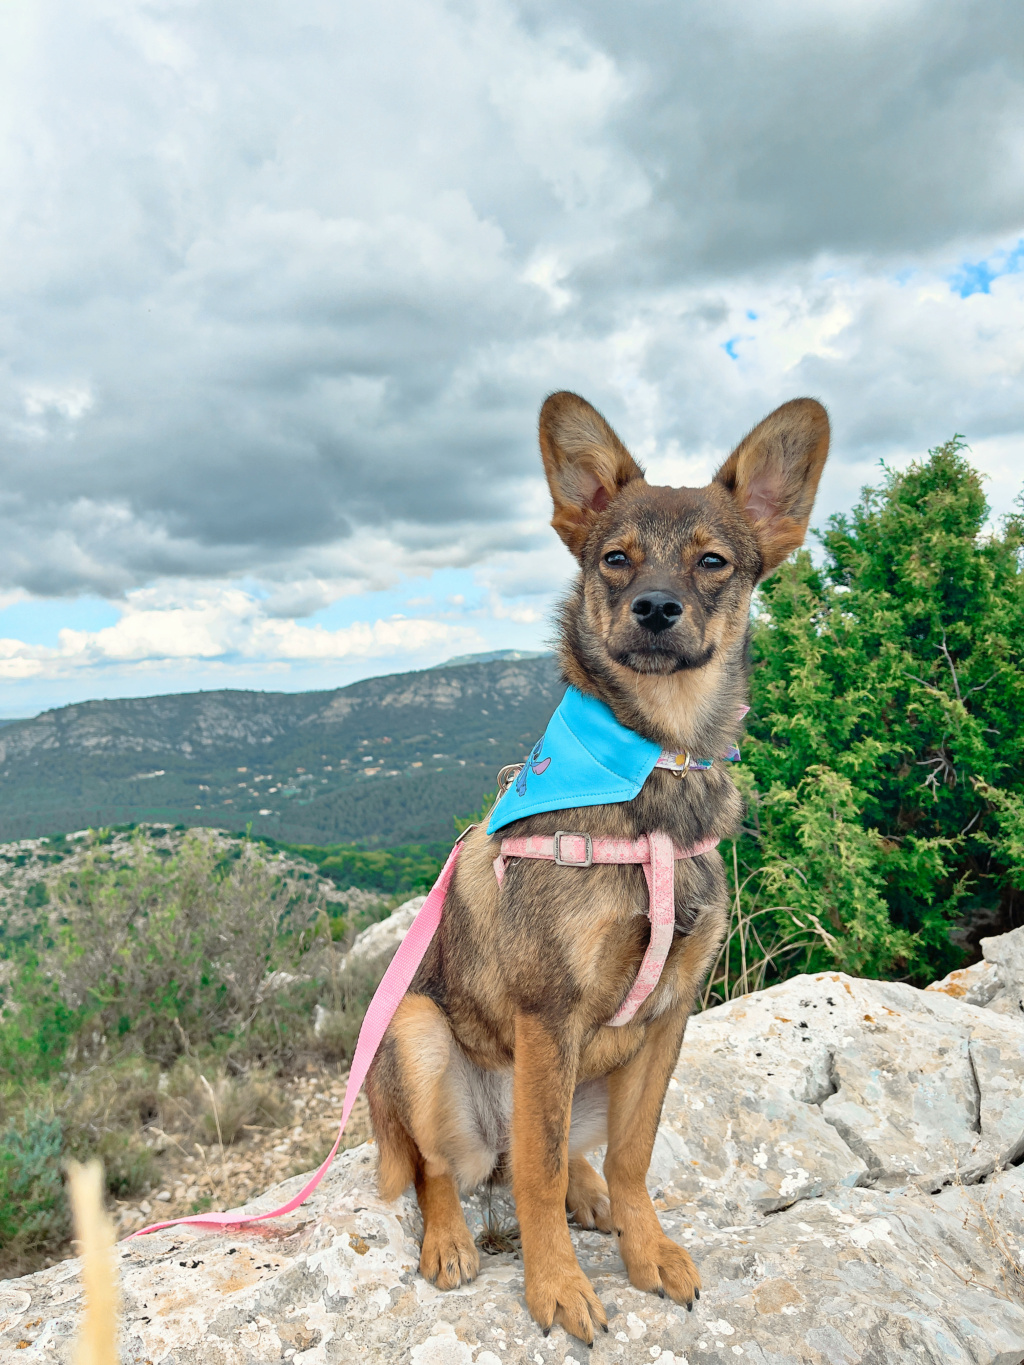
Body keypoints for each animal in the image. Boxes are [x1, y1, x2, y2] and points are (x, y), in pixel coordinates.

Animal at [365, 387, 830, 1343]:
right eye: (615, 559)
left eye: (714, 562)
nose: (654, 608)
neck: (656, 762)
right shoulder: (550, 1014)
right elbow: (536, 1178)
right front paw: (557, 1284)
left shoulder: (667, 1015)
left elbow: (632, 1155)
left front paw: (645, 1248)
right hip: (421, 1034)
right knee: (454, 1169)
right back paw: (450, 1237)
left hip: (591, 1071)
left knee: (558, 1157)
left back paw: (590, 1197)